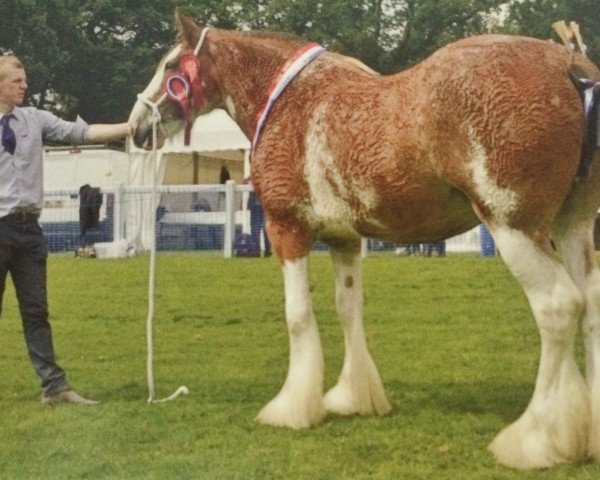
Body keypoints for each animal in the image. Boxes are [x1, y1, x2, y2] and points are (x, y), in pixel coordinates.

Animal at [129, 10, 600, 468]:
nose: (137, 127)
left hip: (513, 227)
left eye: (170, 66)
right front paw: (353, 397)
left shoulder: (286, 230)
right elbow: (348, 308)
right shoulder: (345, 239)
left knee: (558, 307)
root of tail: (571, 65)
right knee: (590, 304)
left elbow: (297, 315)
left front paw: (292, 408)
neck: (288, 102)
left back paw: (534, 441)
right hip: (570, 228)